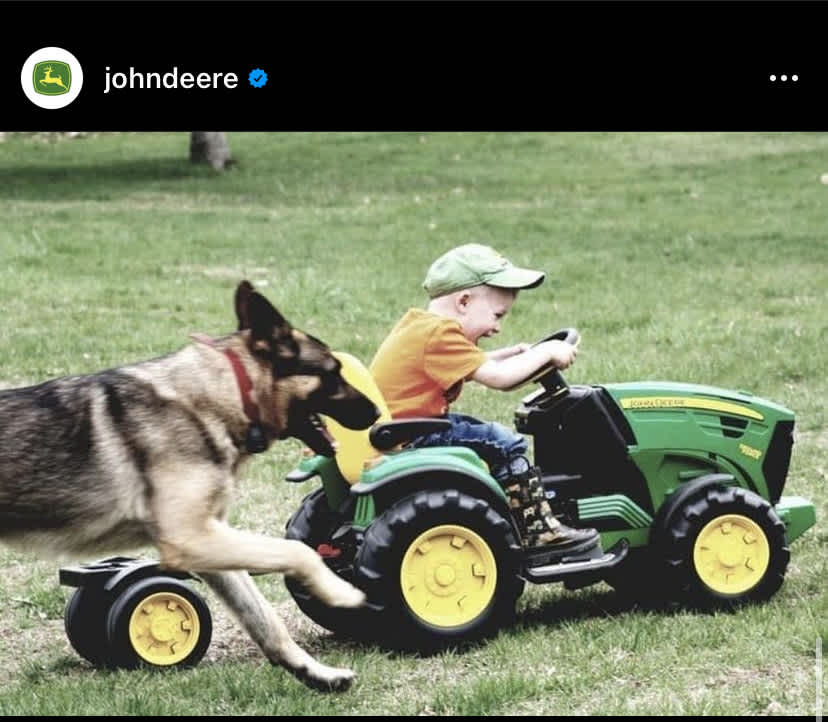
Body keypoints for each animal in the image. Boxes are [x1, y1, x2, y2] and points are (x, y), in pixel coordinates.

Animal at [0, 278, 380, 688]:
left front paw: (315, 672)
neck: (221, 394)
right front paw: (340, 592)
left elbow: (265, 620)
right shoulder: (191, 537)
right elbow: (298, 552)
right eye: (333, 370)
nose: (377, 413)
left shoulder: (211, 544)